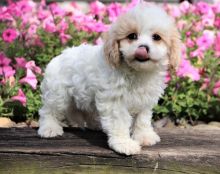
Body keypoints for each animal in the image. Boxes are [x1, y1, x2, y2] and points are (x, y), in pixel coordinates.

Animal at [37, 2, 181, 155]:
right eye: (132, 36)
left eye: (156, 37)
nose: (143, 48)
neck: (137, 71)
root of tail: (60, 56)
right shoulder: (115, 101)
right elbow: (120, 121)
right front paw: (124, 144)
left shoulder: (145, 100)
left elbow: (142, 119)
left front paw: (144, 136)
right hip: (57, 93)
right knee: (48, 110)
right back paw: (49, 128)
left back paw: (95, 124)